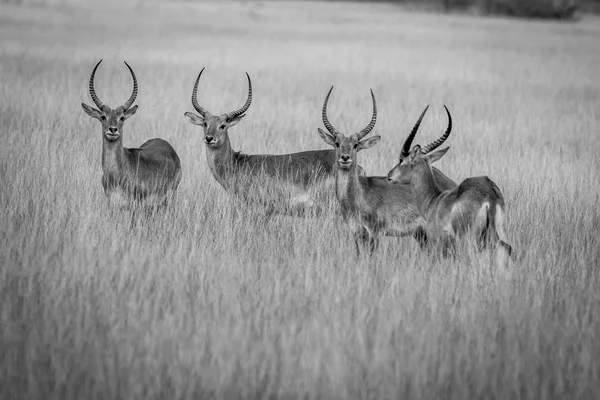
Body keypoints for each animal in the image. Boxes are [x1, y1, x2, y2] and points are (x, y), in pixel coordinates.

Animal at [314, 88, 454, 255]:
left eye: (356, 145)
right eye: (337, 143)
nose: (345, 157)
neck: (359, 195)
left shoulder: (374, 233)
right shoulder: (356, 233)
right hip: (421, 234)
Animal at [386, 106, 512, 268]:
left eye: (401, 159)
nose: (389, 175)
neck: (433, 201)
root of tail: (489, 194)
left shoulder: (436, 244)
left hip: (467, 241)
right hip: (500, 233)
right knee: (507, 248)